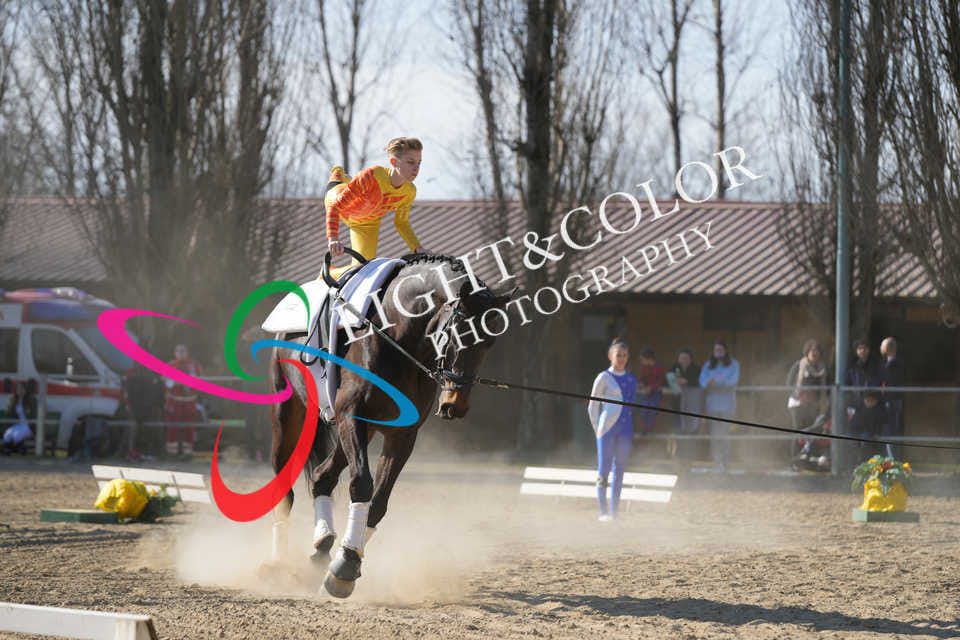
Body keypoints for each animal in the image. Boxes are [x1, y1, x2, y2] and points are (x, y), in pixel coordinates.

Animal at [267, 253, 513, 598]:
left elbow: (379, 502)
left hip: (361, 431)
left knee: (322, 476)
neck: (398, 336)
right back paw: (276, 564)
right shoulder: (351, 415)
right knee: (284, 488)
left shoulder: (402, 435)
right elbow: (362, 484)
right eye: (459, 333)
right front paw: (345, 567)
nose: (456, 404)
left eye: (490, 341)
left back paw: (322, 547)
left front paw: (345, 562)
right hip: (289, 416)